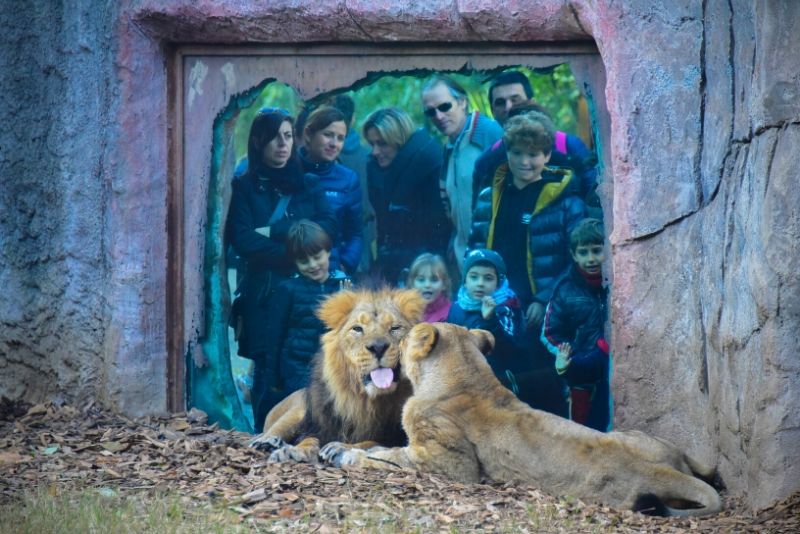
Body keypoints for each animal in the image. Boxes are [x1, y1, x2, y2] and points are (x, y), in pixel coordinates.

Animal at [250, 288, 424, 464]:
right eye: (357, 329)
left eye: (395, 328)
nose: (378, 347)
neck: (363, 401)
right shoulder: (319, 426)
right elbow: (309, 439)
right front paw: (293, 451)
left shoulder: (394, 437)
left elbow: (369, 442)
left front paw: (340, 448)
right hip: (295, 412)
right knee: (273, 431)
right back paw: (267, 442)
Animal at [320, 322, 724, 520]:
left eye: (399, 334)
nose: (382, 346)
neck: (465, 373)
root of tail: (659, 469)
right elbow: (380, 445)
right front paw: (334, 447)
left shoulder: (450, 463)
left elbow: (389, 456)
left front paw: (346, 455)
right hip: (644, 438)